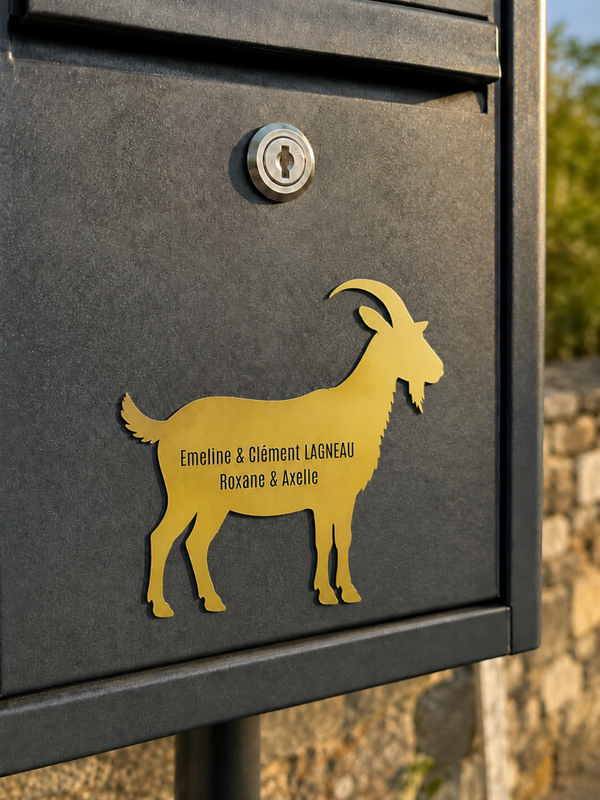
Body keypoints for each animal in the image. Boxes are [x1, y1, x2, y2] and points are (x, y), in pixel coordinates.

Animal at [122, 279, 444, 617]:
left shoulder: (342, 498)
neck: (351, 407)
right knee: (163, 538)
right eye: (404, 340)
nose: (438, 371)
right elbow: (323, 541)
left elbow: (342, 539)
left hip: (207, 503)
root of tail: (165, 426)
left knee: (192, 543)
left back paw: (209, 601)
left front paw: (346, 591)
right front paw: (328, 593)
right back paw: (162, 606)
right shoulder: (324, 497)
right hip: (187, 496)